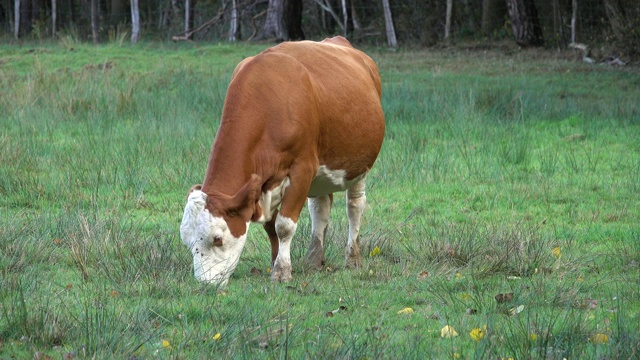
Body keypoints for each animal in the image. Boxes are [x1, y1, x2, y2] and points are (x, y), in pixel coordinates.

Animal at [180, 35, 384, 286]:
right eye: (187, 242)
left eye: (217, 238)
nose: (205, 284)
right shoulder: (264, 185)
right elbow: (271, 226)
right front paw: (276, 261)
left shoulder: (302, 169)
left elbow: (284, 225)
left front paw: (282, 271)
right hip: (322, 174)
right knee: (320, 208)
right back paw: (314, 259)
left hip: (358, 166)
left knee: (355, 206)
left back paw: (353, 258)